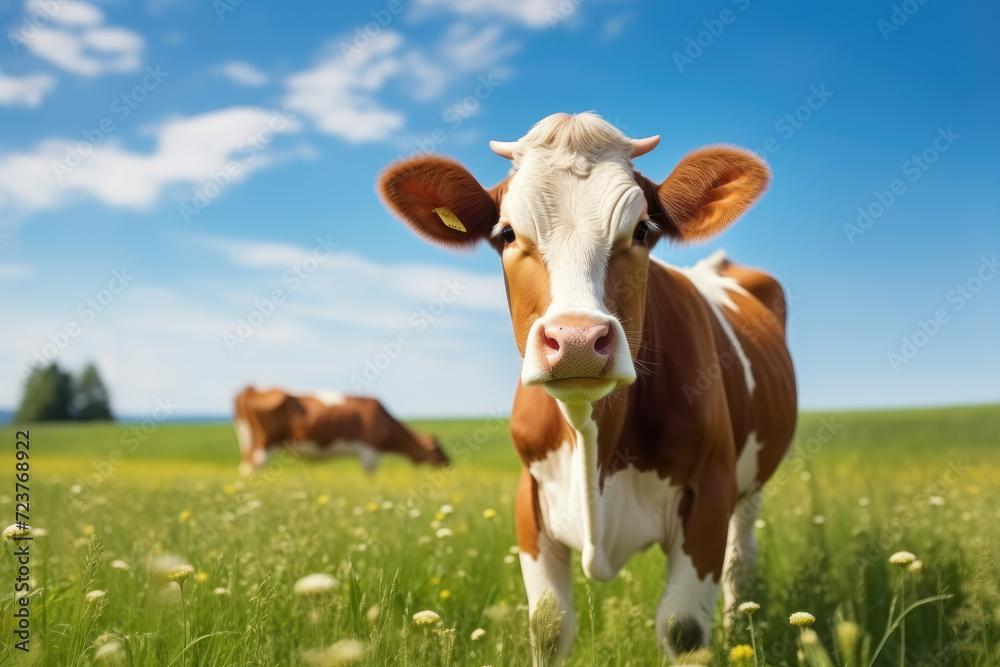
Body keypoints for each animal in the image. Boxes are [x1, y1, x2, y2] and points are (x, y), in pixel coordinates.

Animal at [232, 386, 448, 474]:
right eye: (438, 450)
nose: (449, 463)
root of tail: (252, 387)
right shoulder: (369, 451)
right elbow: (370, 477)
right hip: (263, 443)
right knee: (250, 469)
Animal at [376, 112, 796, 660]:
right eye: (506, 233)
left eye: (642, 230)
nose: (576, 340)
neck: (592, 438)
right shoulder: (530, 502)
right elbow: (549, 627)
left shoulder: (709, 494)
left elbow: (682, 629)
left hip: (750, 485)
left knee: (738, 562)